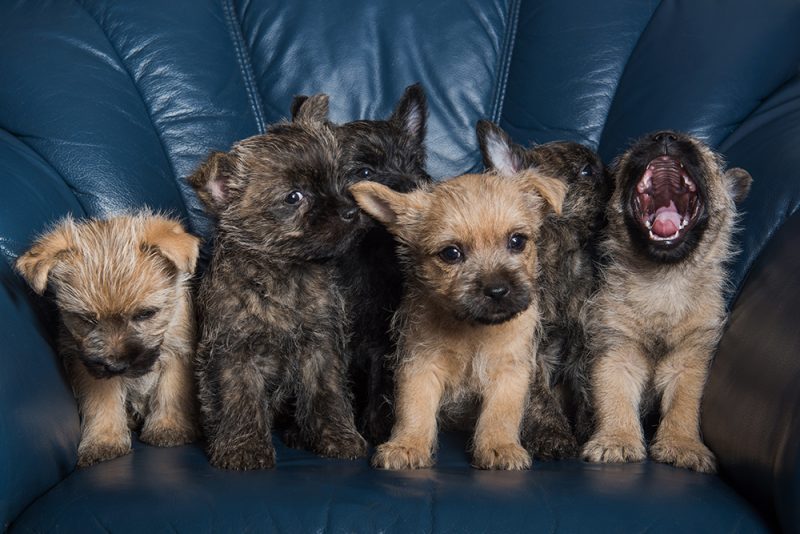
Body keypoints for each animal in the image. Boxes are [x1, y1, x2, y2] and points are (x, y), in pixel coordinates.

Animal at [16, 214, 200, 468]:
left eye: (145, 314)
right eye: (87, 319)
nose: (116, 366)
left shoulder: (177, 351)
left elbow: (171, 391)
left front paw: (169, 428)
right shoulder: (88, 367)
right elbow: (102, 402)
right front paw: (104, 441)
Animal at [191, 94, 368, 472]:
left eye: (339, 180)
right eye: (293, 197)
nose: (350, 211)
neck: (286, 275)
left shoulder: (322, 348)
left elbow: (328, 395)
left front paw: (338, 437)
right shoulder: (234, 354)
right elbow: (241, 401)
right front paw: (243, 447)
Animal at [354, 169, 564, 474]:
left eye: (517, 241)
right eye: (451, 253)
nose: (498, 290)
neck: (472, 329)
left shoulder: (509, 370)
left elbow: (501, 412)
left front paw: (499, 446)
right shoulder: (420, 365)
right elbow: (413, 408)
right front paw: (407, 445)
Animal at [476, 122, 608, 460]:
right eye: (587, 171)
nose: (616, 173)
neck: (564, 259)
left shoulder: (584, 346)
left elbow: (588, 388)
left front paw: (593, 429)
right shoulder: (530, 351)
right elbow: (538, 396)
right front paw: (552, 435)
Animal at [580, 132, 752, 476]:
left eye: (706, 155)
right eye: (630, 154)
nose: (665, 137)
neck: (662, 282)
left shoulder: (689, 362)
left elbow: (684, 406)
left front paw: (682, 445)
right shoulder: (616, 353)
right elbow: (614, 397)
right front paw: (616, 439)